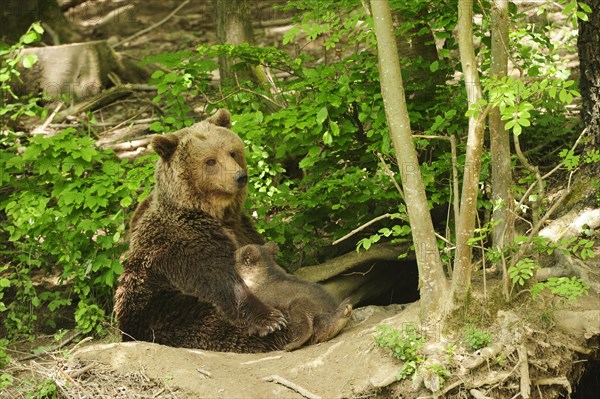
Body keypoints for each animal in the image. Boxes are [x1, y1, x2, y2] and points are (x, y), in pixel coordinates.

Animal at [115, 109, 292, 354]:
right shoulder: (184, 241)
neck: (213, 212)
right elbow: (218, 277)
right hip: (160, 309)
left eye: (232, 152)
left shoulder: (240, 227)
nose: (240, 177)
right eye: (210, 161)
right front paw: (271, 320)